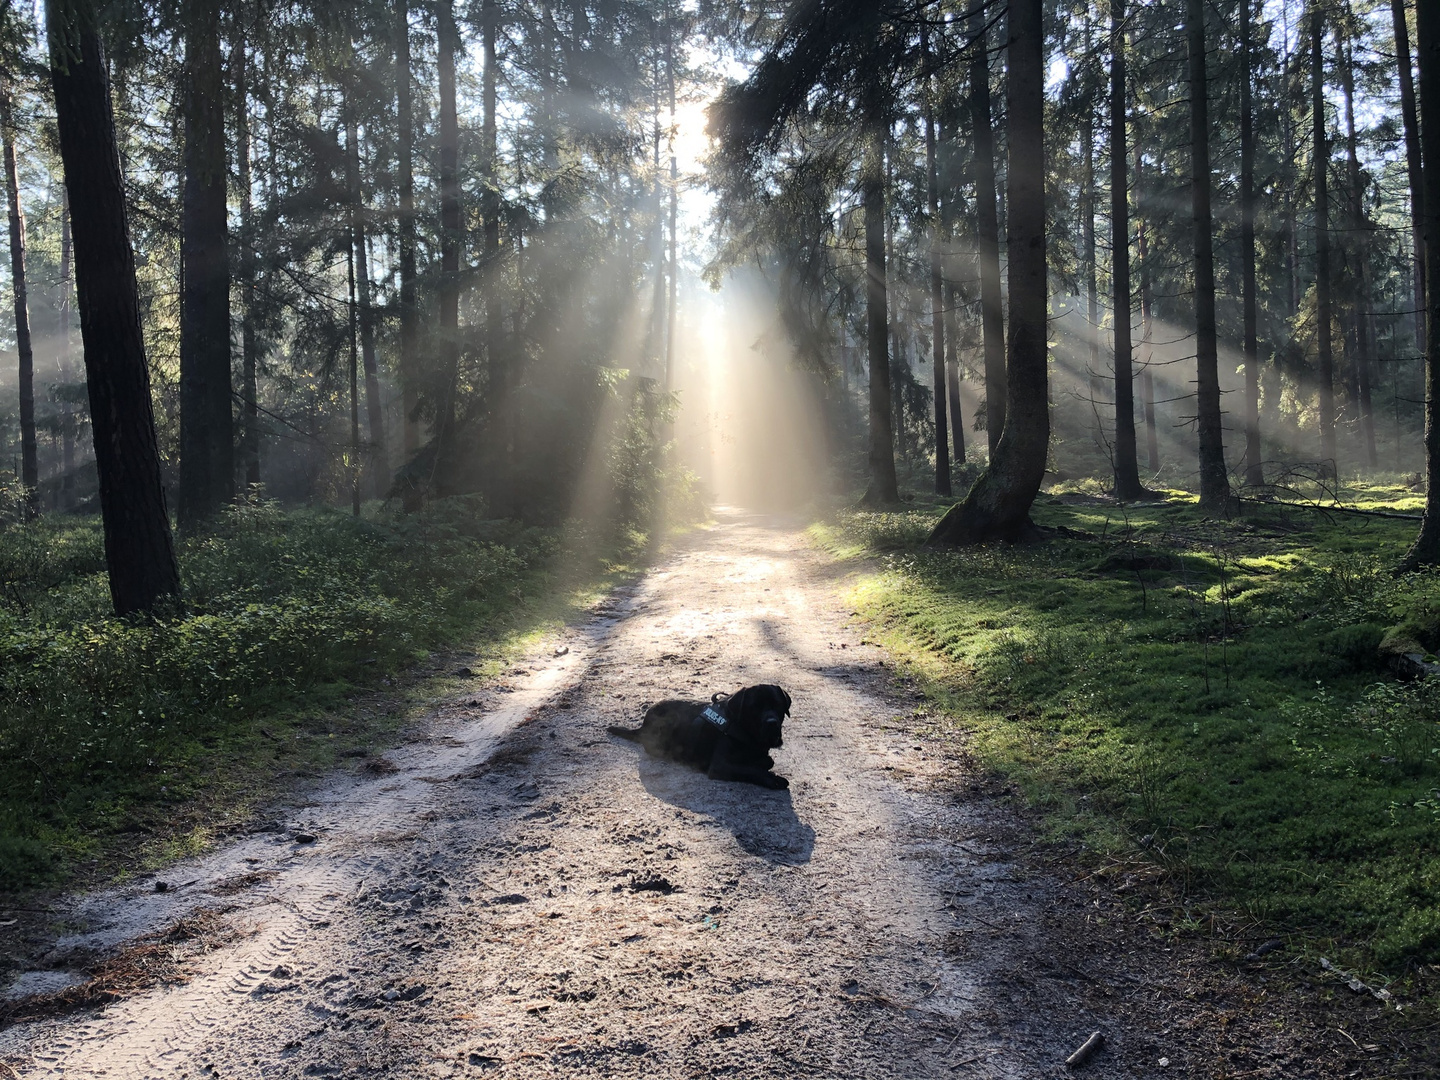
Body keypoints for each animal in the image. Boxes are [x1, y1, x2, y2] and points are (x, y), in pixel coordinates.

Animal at [604, 688, 794, 789]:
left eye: (778, 705)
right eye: (754, 707)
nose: (772, 722)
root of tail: (642, 726)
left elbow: (765, 761)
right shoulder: (720, 766)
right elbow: (751, 770)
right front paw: (773, 778)